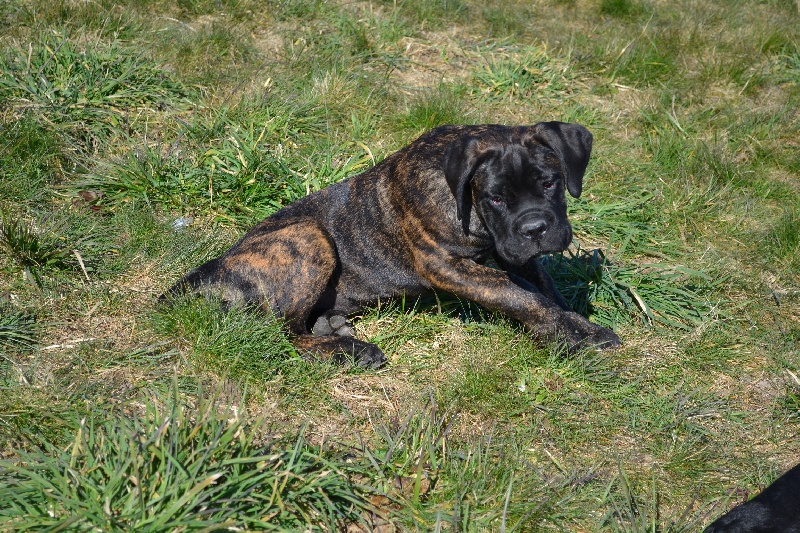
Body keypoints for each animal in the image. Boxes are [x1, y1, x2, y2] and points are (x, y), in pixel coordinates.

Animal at [162, 122, 620, 368]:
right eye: (495, 198)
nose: (535, 228)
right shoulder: (446, 265)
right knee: (281, 332)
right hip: (309, 238)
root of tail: (214, 268)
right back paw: (351, 351)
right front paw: (566, 335)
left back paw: (334, 329)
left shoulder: (517, 257)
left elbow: (544, 288)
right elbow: (521, 296)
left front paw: (579, 326)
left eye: (551, 182)